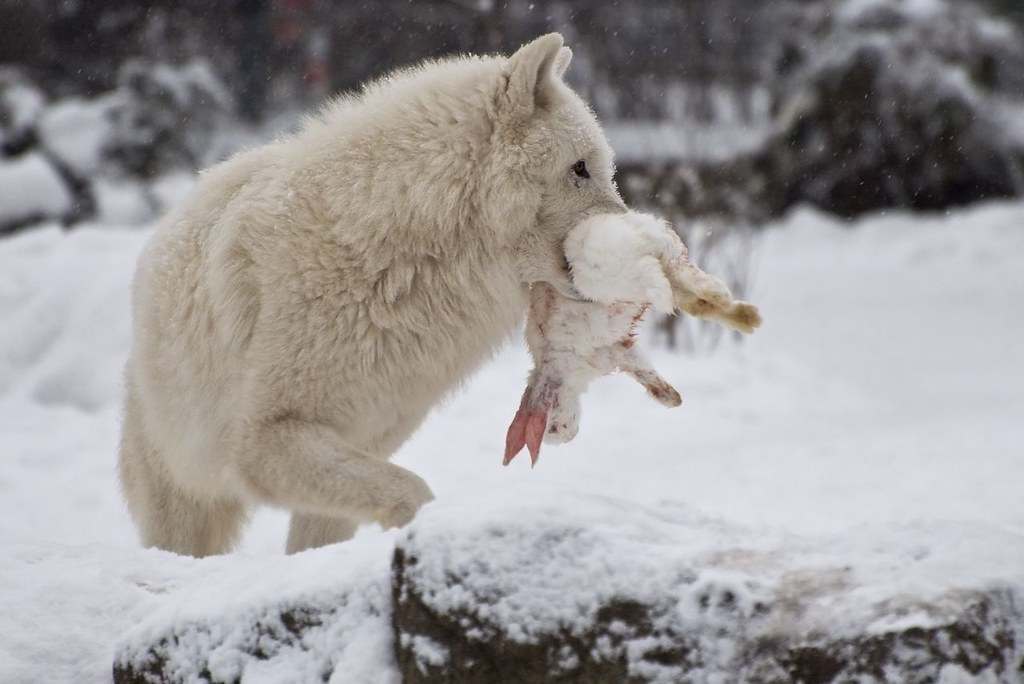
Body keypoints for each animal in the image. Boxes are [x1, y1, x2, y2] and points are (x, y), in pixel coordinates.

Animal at [119, 33, 630, 557]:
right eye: (580, 168)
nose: (633, 229)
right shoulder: (263, 439)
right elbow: (412, 490)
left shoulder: (365, 439)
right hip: (184, 488)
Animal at [503, 210, 761, 466]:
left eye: (552, 428)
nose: (570, 435)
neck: (554, 370)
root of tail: (641, 236)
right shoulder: (620, 352)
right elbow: (645, 372)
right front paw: (672, 398)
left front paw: (672, 398)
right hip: (670, 256)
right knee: (694, 290)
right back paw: (746, 317)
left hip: (613, 272)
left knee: (658, 275)